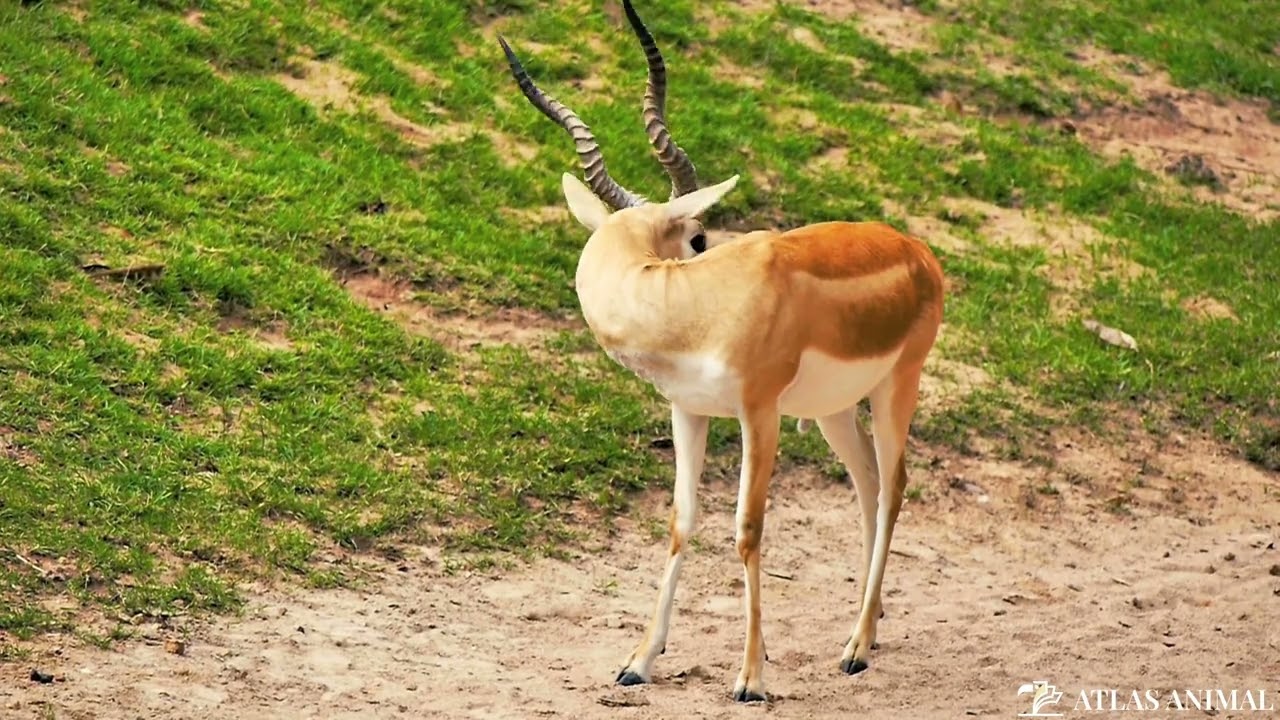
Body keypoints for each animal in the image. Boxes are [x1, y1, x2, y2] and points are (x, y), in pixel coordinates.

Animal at [499, 0, 944, 703]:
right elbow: (682, 520)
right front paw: (638, 663)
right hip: (833, 410)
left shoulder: (758, 414)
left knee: (896, 487)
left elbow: (747, 529)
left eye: (700, 237)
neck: (693, 305)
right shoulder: (688, 410)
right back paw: (867, 636)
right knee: (869, 488)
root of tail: (919, 252)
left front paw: (751, 678)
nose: (699, 246)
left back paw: (854, 651)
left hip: (896, 387)